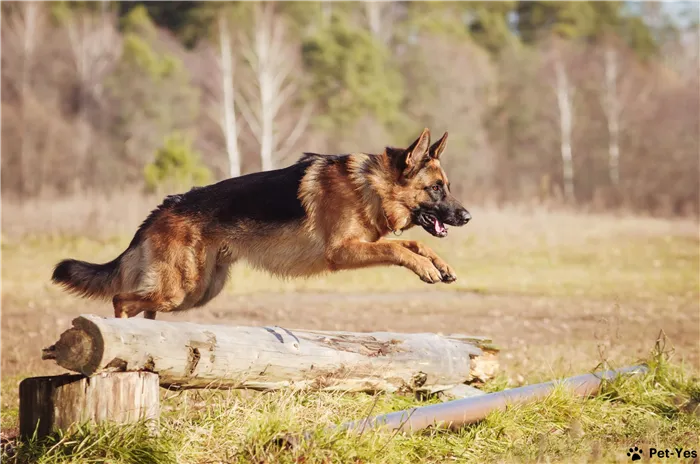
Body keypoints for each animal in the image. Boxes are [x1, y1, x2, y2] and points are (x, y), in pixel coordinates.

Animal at [53, 129, 470, 320]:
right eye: (436, 188)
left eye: (447, 186)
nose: (466, 216)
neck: (372, 185)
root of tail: (162, 208)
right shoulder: (343, 251)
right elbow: (397, 247)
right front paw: (424, 269)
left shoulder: (365, 243)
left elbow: (415, 243)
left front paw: (441, 265)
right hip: (179, 289)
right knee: (121, 299)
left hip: (195, 292)